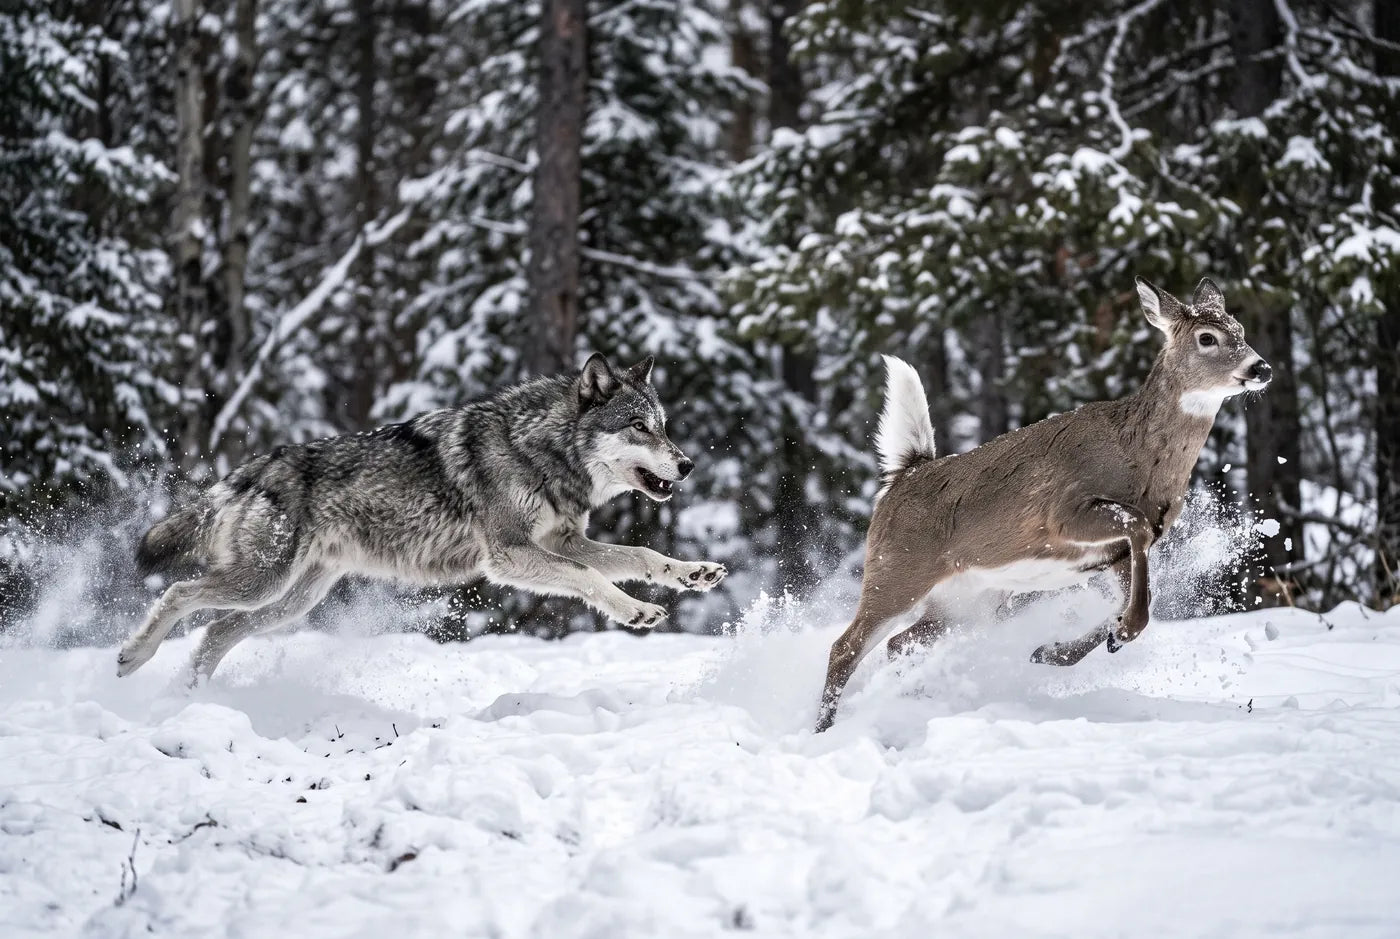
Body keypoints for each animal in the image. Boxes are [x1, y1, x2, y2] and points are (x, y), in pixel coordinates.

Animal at [118, 353, 727, 681]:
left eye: (664, 425)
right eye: (638, 427)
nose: (688, 464)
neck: (541, 450)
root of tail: (253, 467)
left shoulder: (562, 541)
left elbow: (638, 555)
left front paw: (692, 574)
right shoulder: (511, 555)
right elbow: (591, 578)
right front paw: (636, 611)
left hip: (288, 601)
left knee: (215, 633)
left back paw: (190, 698)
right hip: (261, 584)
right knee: (177, 593)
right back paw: (133, 657)